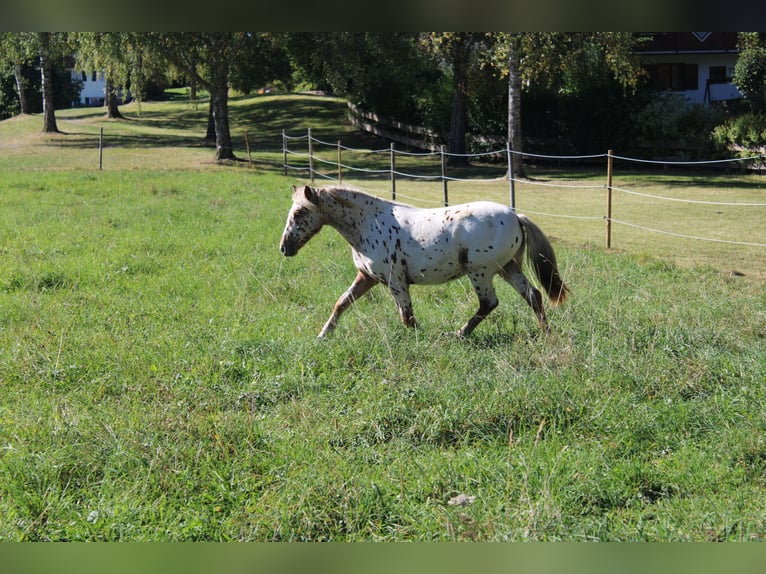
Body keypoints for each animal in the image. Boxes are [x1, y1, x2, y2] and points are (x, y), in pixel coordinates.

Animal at [280, 184, 569, 338]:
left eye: (300, 212)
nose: (285, 247)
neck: (369, 223)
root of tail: (515, 216)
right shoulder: (367, 277)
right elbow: (341, 303)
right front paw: (323, 335)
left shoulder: (396, 282)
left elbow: (407, 317)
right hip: (508, 268)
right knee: (533, 295)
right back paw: (545, 333)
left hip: (481, 272)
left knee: (489, 303)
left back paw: (460, 334)